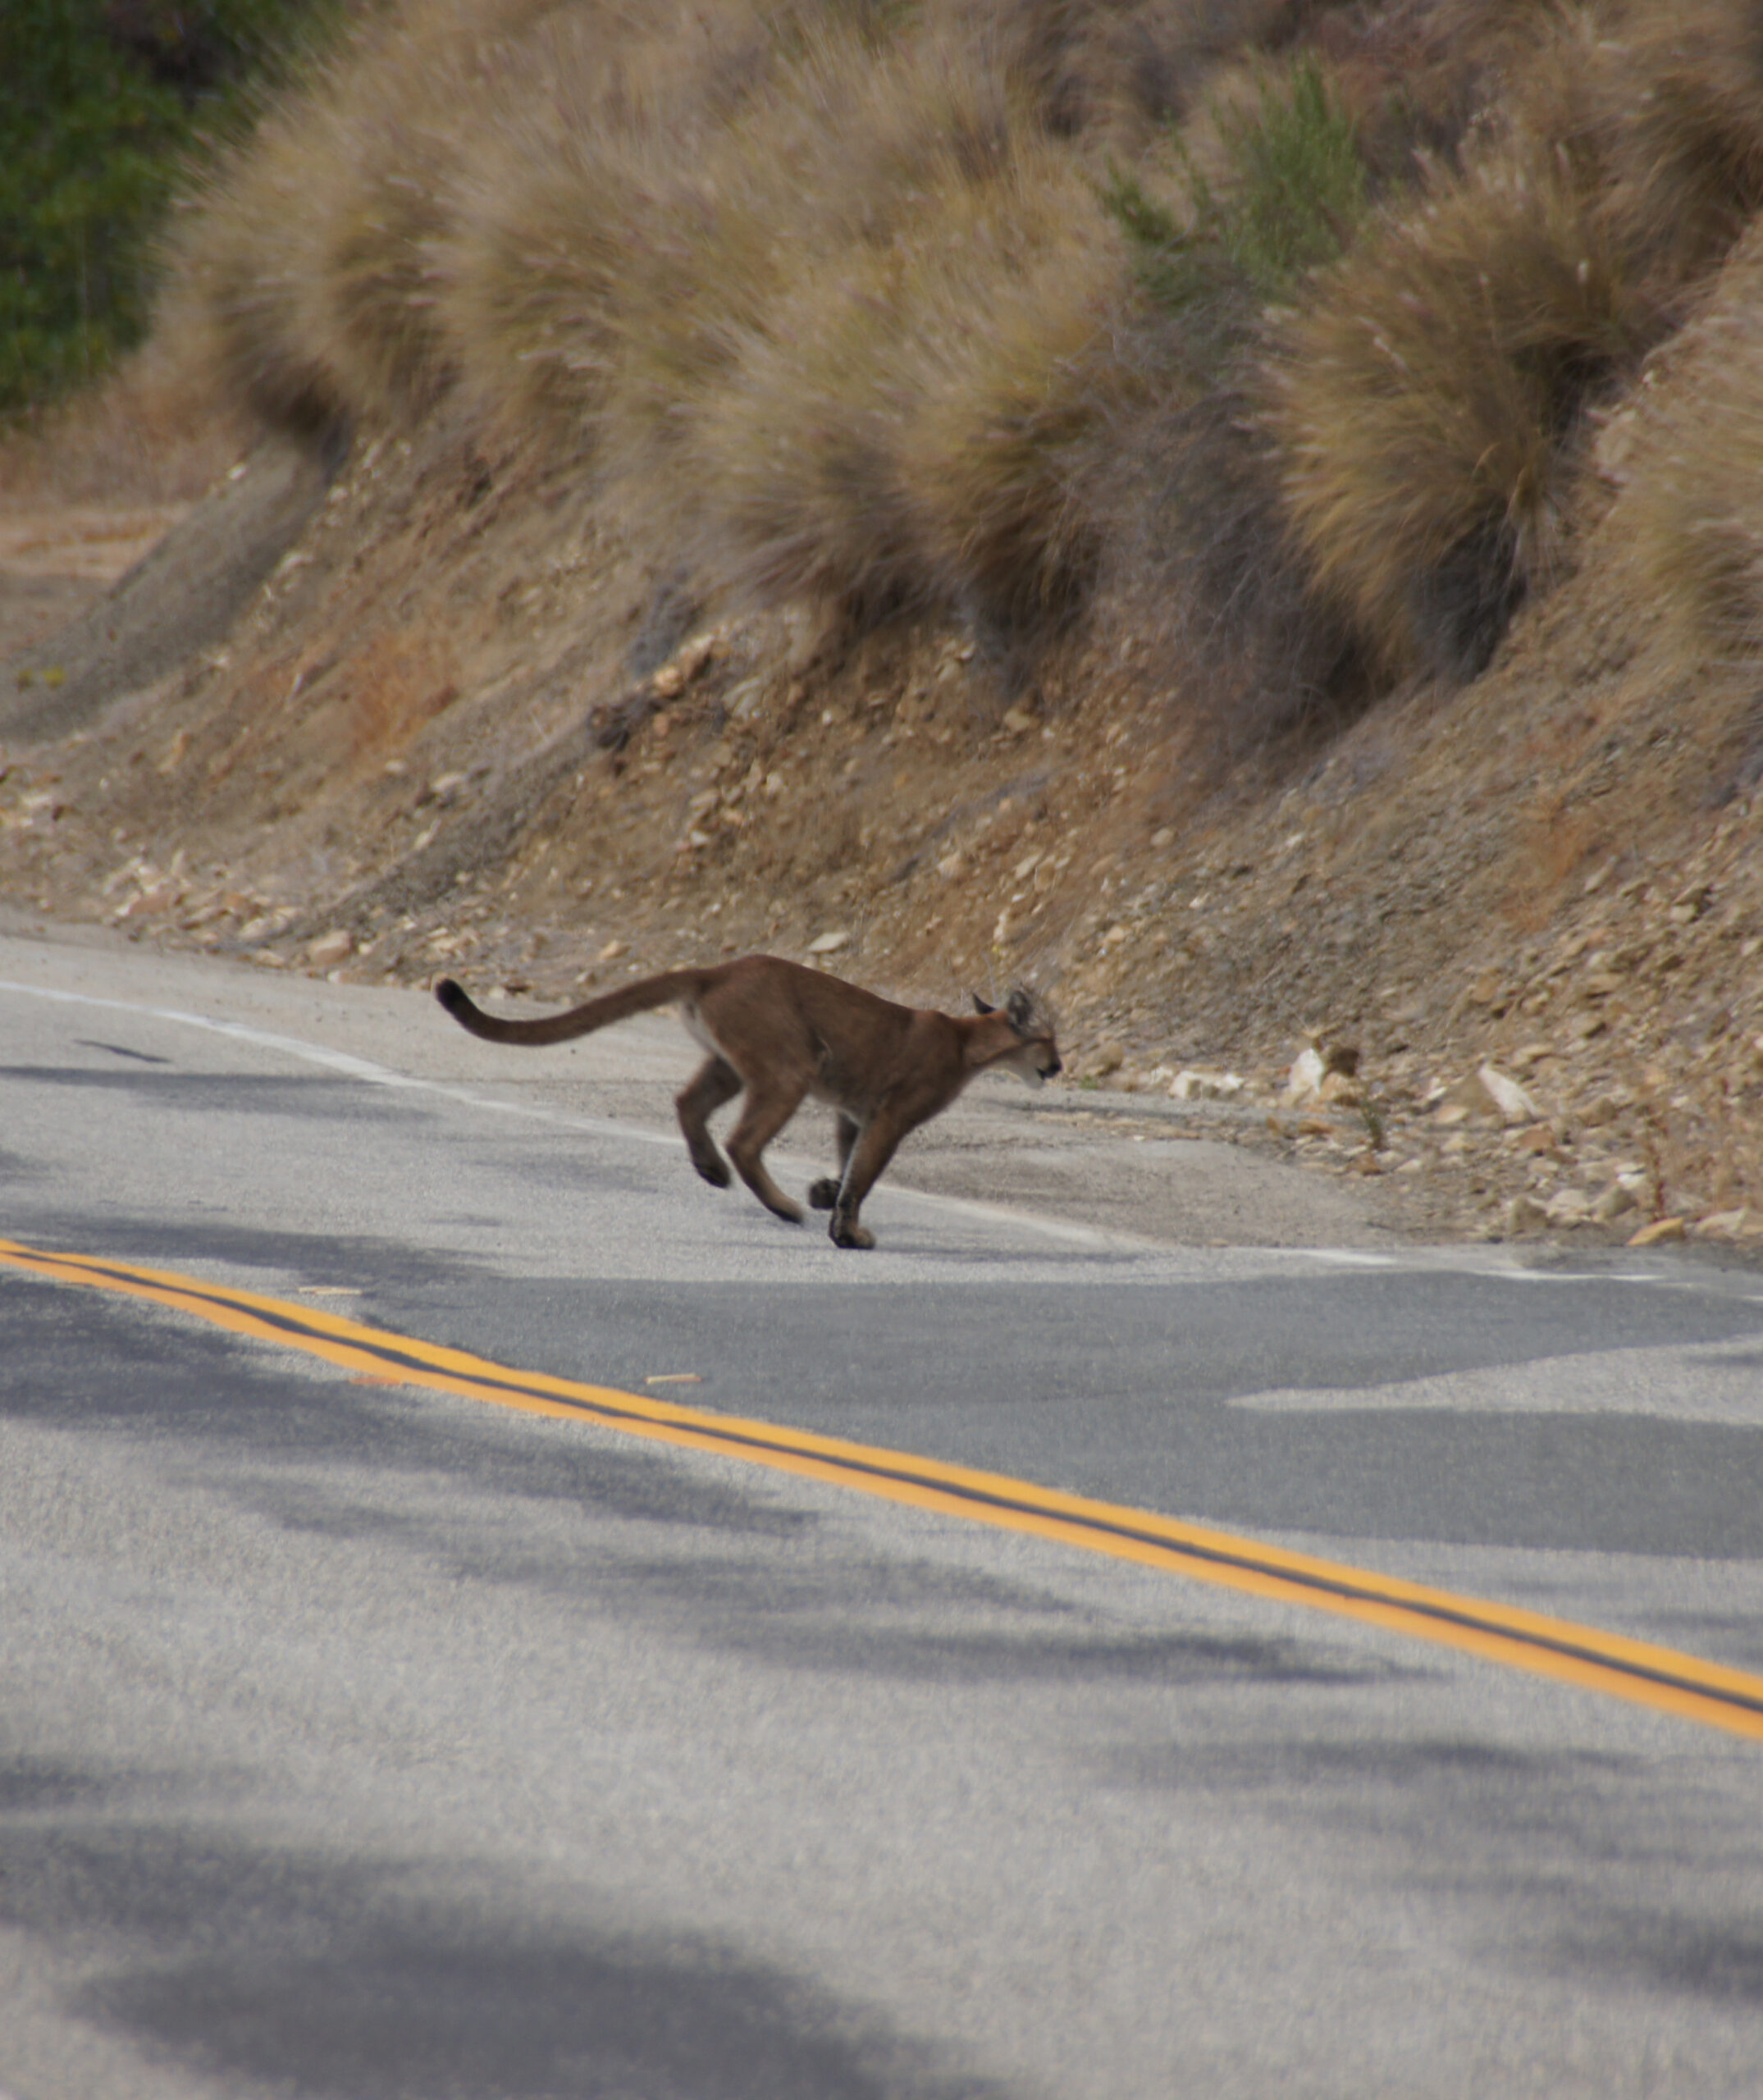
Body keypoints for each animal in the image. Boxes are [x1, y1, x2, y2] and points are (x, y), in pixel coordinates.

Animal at [436, 957, 1063, 1243]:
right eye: (1050, 1040)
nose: (1058, 1067)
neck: (967, 1043)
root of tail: (721, 967)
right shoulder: (890, 1117)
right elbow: (863, 1176)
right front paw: (846, 1232)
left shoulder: (853, 1112)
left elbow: (848, 1162)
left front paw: (824, 1193)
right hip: (789, 1069)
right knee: (742, 1140)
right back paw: (778, 1204)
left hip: (732, 1066)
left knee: (687, 1102)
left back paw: (711, 1170)